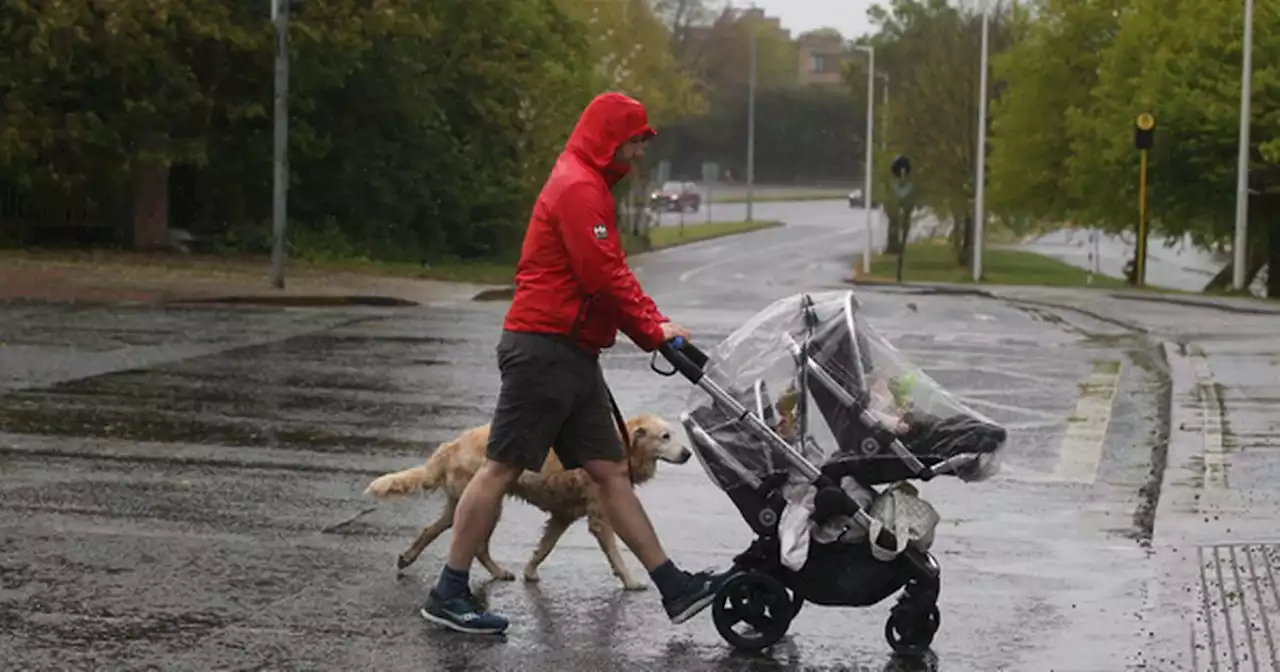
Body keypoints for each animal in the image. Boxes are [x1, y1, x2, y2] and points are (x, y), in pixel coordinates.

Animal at [366, 412, 691, 588]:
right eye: (665, 436)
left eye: (673, 435)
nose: (688, 453)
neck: (622, 445)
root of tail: (452, 444)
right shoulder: (600, 516)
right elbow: (615, 553)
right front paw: (630, 581)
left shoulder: (562, 515)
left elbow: (544, 548)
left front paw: (530, 571)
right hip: (489, 503)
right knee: (477, 546)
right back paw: (495, 572)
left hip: (461, 504)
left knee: (434, 530)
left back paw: (409, 557)